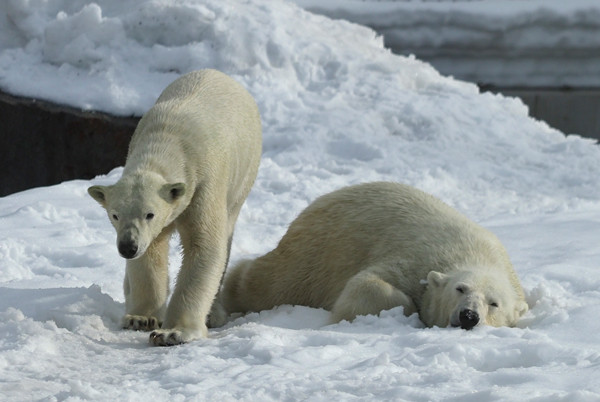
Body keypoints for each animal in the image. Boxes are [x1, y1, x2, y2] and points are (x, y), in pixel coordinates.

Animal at [88, 69, 262, 346]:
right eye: (114, 215)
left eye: (150, 214)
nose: (127, 247)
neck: (168, 139)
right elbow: (151, 253)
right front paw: (141, 318)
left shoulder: (204, 184)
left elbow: (205, 246)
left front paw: (173, 332)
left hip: (243, 175)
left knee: (227, 233)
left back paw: (213, 314)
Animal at [219, 182, 524, 330]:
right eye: (460, 288)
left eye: (494, 303)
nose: (469, 315)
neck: (476, 254)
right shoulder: (416, 258)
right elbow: (366, 284)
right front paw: (409, 310)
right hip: (315, 252)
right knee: (269, 283)